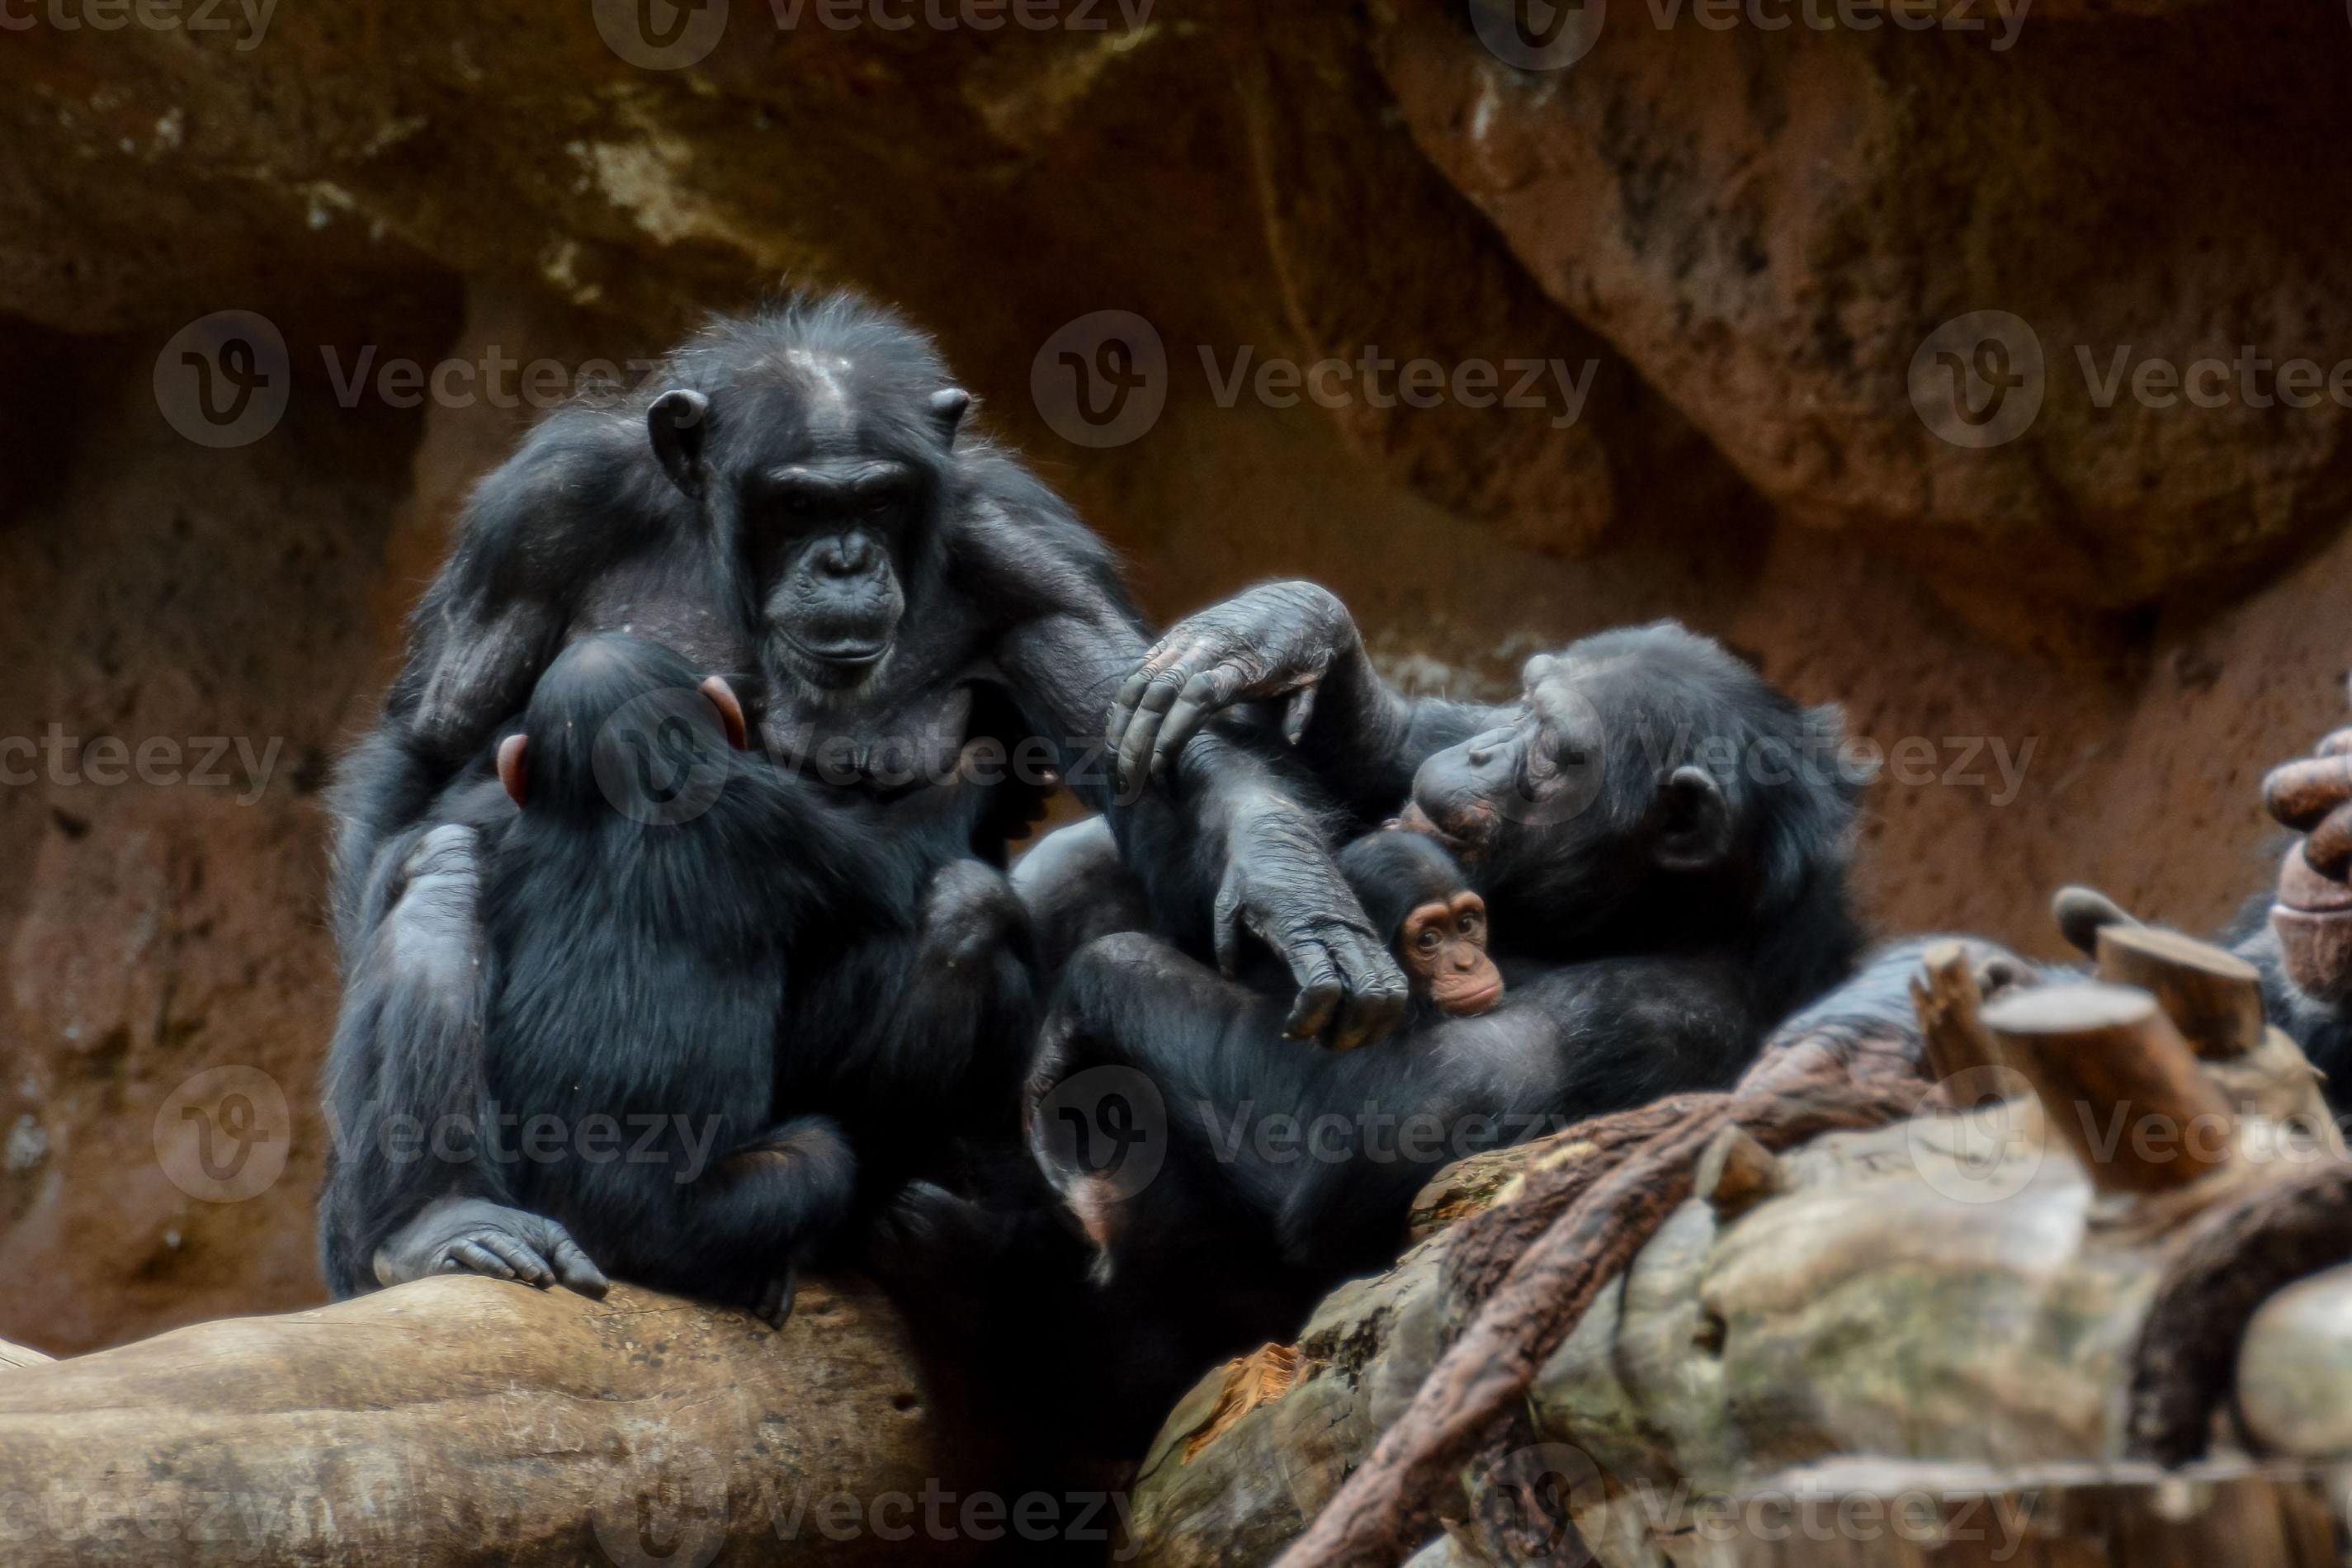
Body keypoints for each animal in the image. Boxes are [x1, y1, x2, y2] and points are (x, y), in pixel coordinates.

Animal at [322, 300, 1401, 1297]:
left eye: (878, 500)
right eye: (798, 506)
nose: (845, 558)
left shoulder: (1029, 555)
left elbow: (1139, 734)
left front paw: (1289, 883)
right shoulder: (536, 519)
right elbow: (435, 740)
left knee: (962, 914)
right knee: (438, 864)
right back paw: (438, 1218)